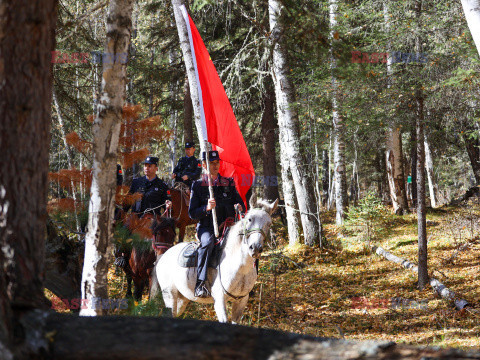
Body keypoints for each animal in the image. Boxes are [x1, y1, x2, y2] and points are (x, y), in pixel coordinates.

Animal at [156, 195, 280, 324]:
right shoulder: (220, 300)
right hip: (170, 295)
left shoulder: (241, 301)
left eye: (269, 224)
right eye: (250, 219)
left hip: (182, 299)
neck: (241, 268)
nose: (255, 247)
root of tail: (164, 255)